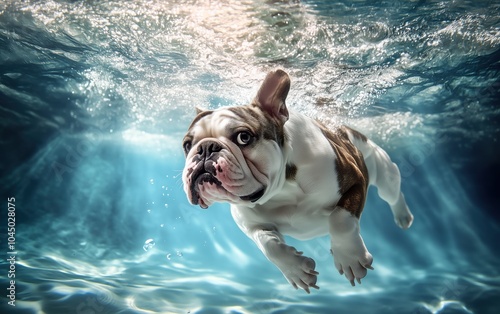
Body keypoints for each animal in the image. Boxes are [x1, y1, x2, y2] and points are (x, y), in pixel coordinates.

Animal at [182, 70, 412, 294]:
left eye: (243, 137)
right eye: (187, 145)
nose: (205, 148)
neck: (281, 190)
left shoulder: (355, 180)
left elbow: (341, 220)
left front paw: (350, 258)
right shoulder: (252, 225)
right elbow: (268, 245)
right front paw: (296, 271)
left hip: (383, 171)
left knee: (393, 190)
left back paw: (403, 216)